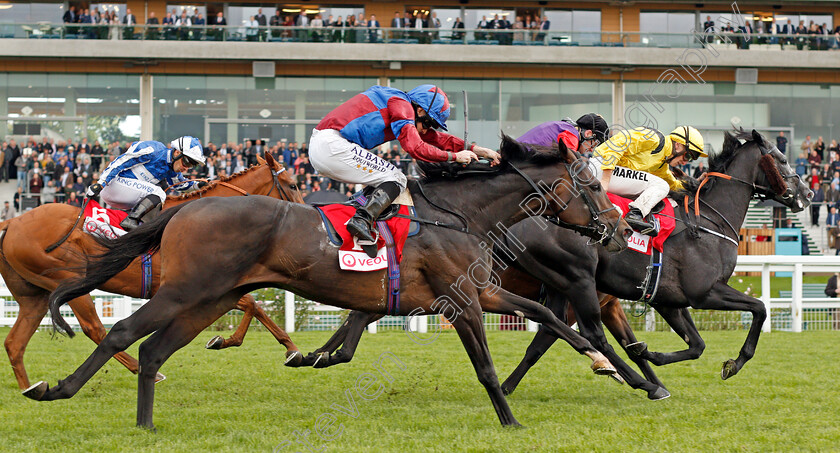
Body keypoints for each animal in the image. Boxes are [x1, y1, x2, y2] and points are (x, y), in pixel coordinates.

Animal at [0, 153, 302, 388]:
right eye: (293, 184)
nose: (304, 214)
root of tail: (13, 222)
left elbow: (254, 305)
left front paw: (289, 349)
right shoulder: (196, 288)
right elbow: (251, 303)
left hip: (35, 296)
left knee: (15, 343)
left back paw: (29, 389)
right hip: (69, 280)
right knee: (94, 328)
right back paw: (144, 371)